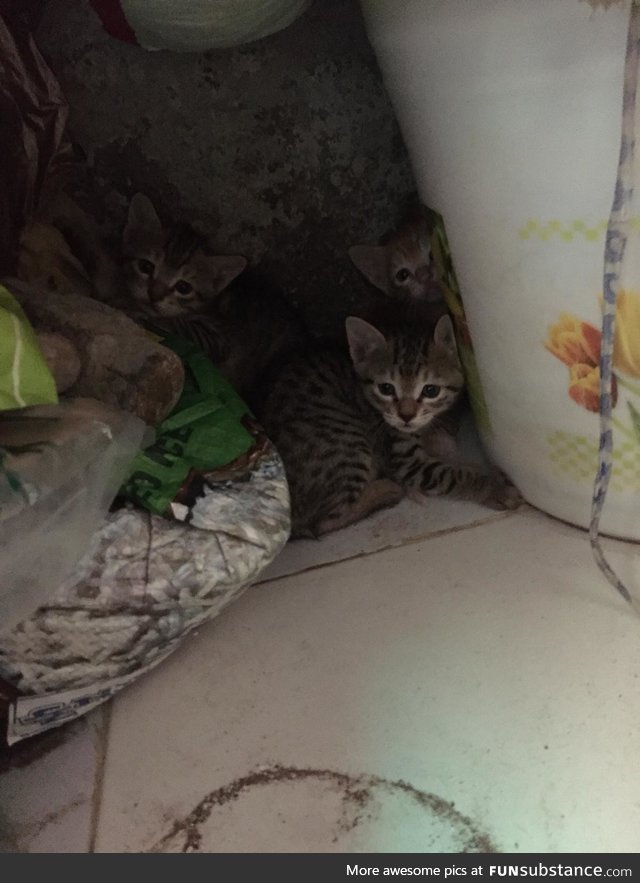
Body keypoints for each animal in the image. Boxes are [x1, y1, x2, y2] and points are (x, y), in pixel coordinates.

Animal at [255, 304, 520, 540]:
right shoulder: (407, 462)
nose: (406, 416)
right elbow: (454, 474)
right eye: (386, 388)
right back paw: (386, 490)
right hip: (347, 442)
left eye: (431, 390)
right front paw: (494, 486)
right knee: (322, 523)